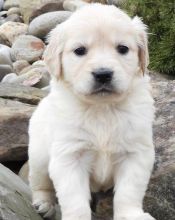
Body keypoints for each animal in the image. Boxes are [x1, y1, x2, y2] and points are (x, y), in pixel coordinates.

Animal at [28, 3, 156, 220]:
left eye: (123, 49)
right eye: (80, 50)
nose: (103, 74)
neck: (102, 108)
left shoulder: (136, 153)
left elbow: (128, 191)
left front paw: (131, 214)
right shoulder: (70, 155)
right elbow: (74, 199)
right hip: (38, 156)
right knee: (40, 182)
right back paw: (44, 204)